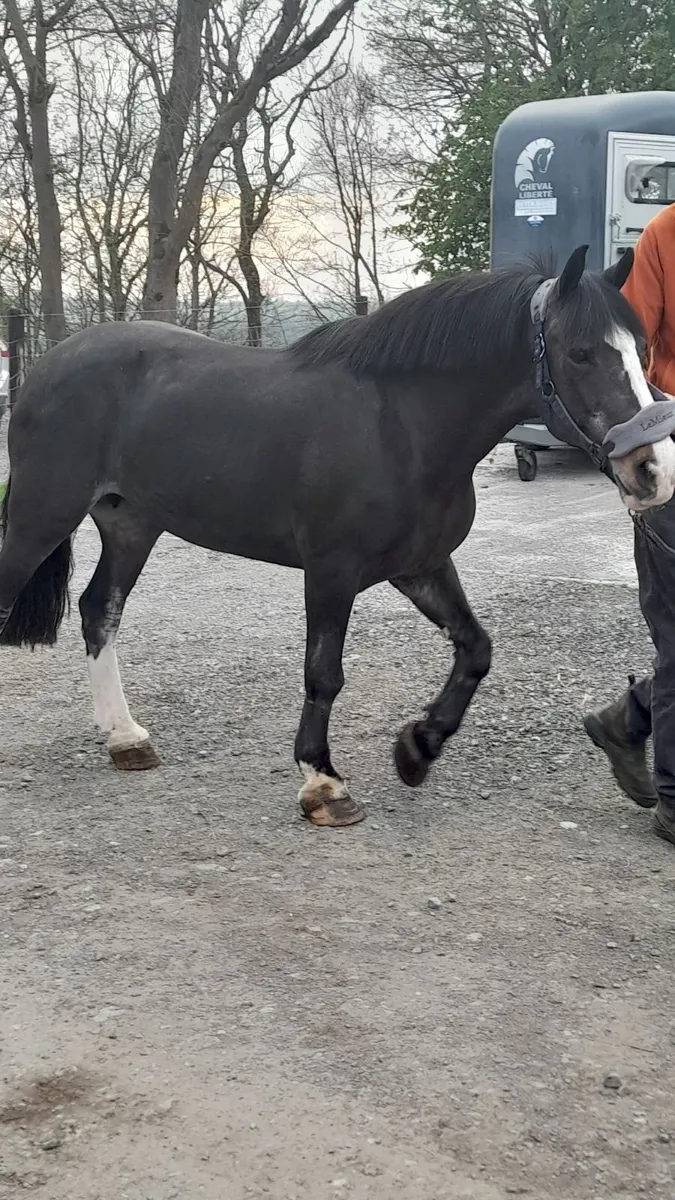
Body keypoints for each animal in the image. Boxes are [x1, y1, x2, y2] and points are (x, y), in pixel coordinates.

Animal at [1, 245, 673, 829]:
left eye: (642, 348)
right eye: (580, 353)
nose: (653, 469)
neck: (400, 425)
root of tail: (49, 363)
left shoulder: (421, 565)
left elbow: (476, 649)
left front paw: (417, 748)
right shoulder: (331, 570)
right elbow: (324, 673)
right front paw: (324, 783)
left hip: (131, 525)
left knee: (101, 611)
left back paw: (125, 738)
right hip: (40, 515)